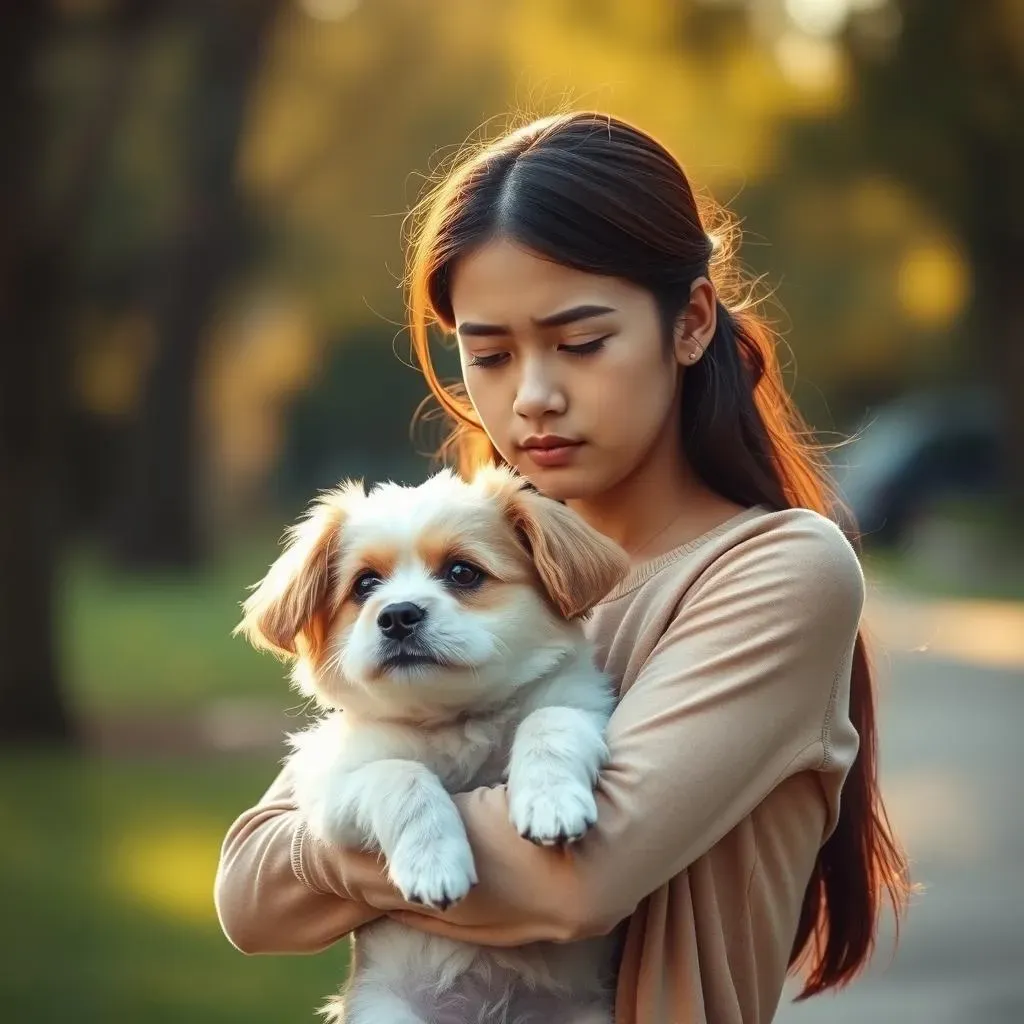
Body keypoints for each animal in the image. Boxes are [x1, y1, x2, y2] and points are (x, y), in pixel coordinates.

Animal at [236, 466, 626, 1024]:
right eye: (365, 584)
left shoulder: (581, 707)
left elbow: (548, 723)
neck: (455, 719)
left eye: (463, 573)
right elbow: (403, 775)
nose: (398, 615)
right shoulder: (334, 789)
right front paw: (435, 862)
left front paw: (550, 803)